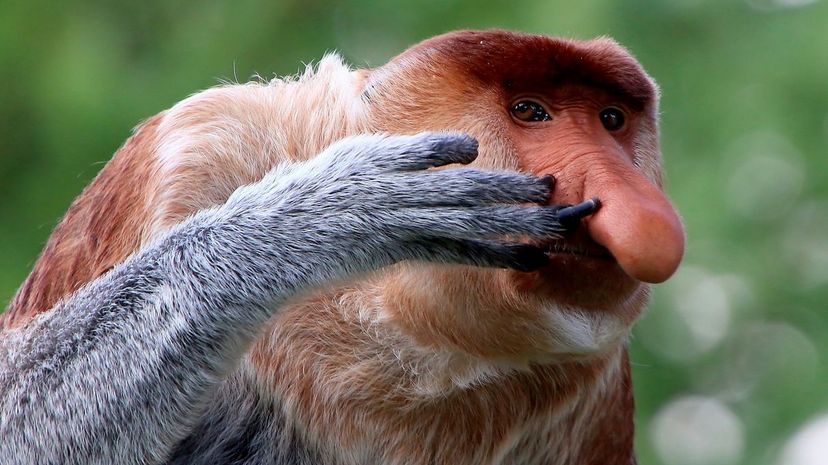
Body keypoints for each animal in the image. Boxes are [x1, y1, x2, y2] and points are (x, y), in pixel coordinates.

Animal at [0, 29, 684, 464]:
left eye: (611, 120)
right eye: (530, 110)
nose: (631, 204)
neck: (390, 326)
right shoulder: (195, 148)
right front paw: (333, 213)